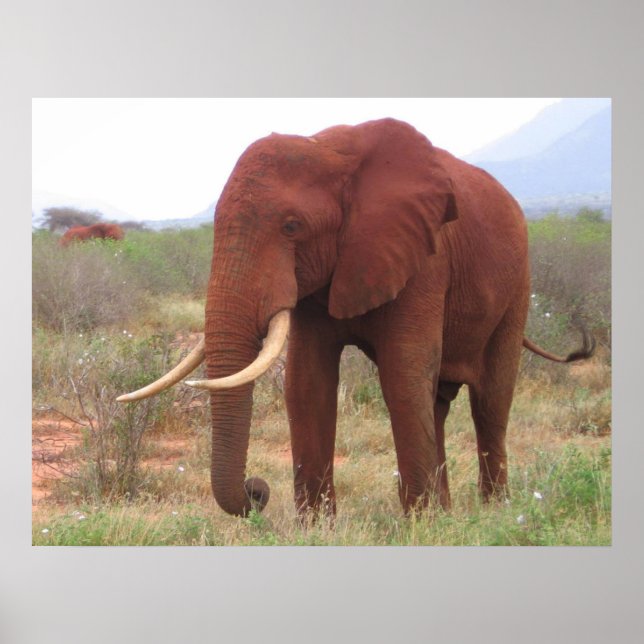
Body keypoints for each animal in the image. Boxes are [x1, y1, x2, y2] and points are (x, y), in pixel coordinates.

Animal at [118, 118, 594, 518]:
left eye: (291, 227)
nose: (258, 490)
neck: (328, 150)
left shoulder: (424, 257)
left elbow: (402, 375)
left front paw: (419, 528)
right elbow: (306, 382)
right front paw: (317, 529)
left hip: (517, 286)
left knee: (491, 401)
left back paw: (494, 514)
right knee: (438, 403)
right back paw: (447, 513)